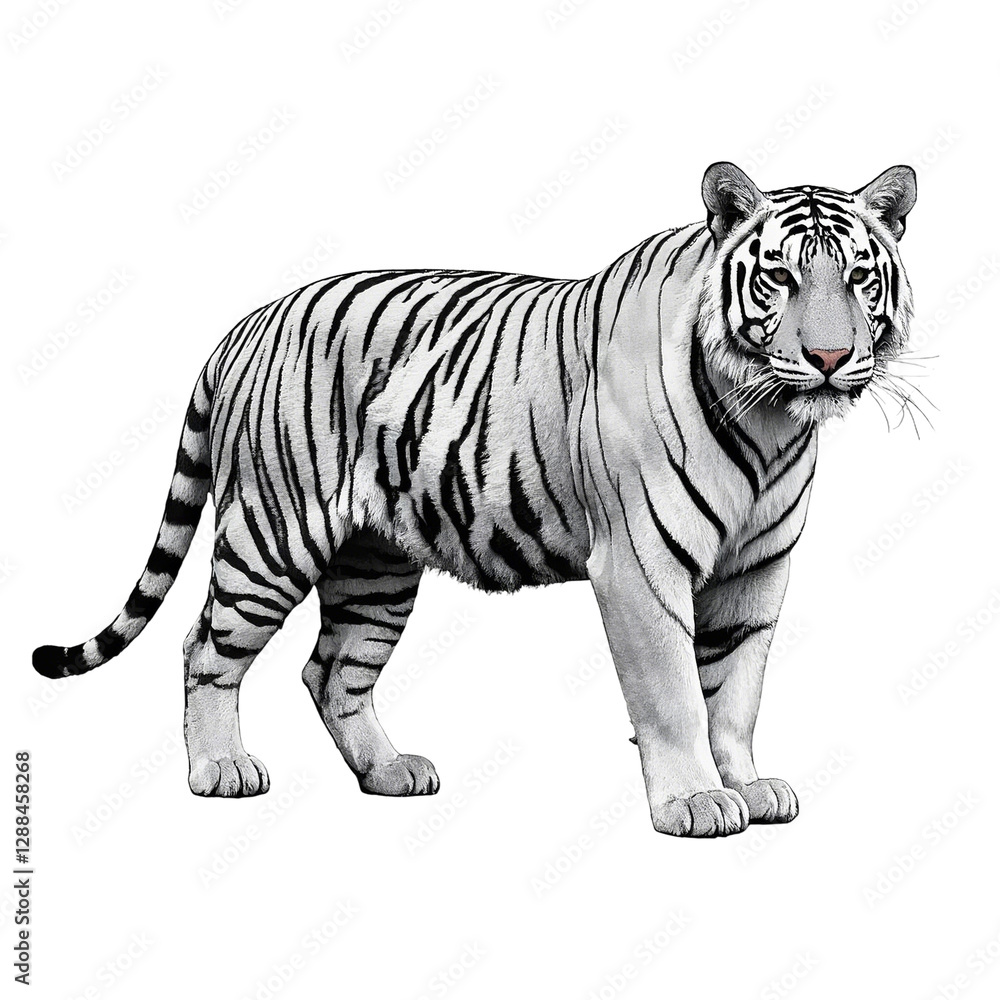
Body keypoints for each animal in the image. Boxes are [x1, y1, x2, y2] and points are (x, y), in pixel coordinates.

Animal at [33, 161, 917, 838]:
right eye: (780, 277)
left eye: (859, 277)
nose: (830, 357)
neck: (769, 419)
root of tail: (244, 326)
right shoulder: (639, 566)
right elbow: (673, 692)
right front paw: (696, 801)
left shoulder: (755, 571)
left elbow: (735, 687)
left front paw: (748, 785)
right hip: (270, 537)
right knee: (204, 647)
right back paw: (221, 769)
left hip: (376, 566)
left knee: (332, 669)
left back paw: (390, 770)